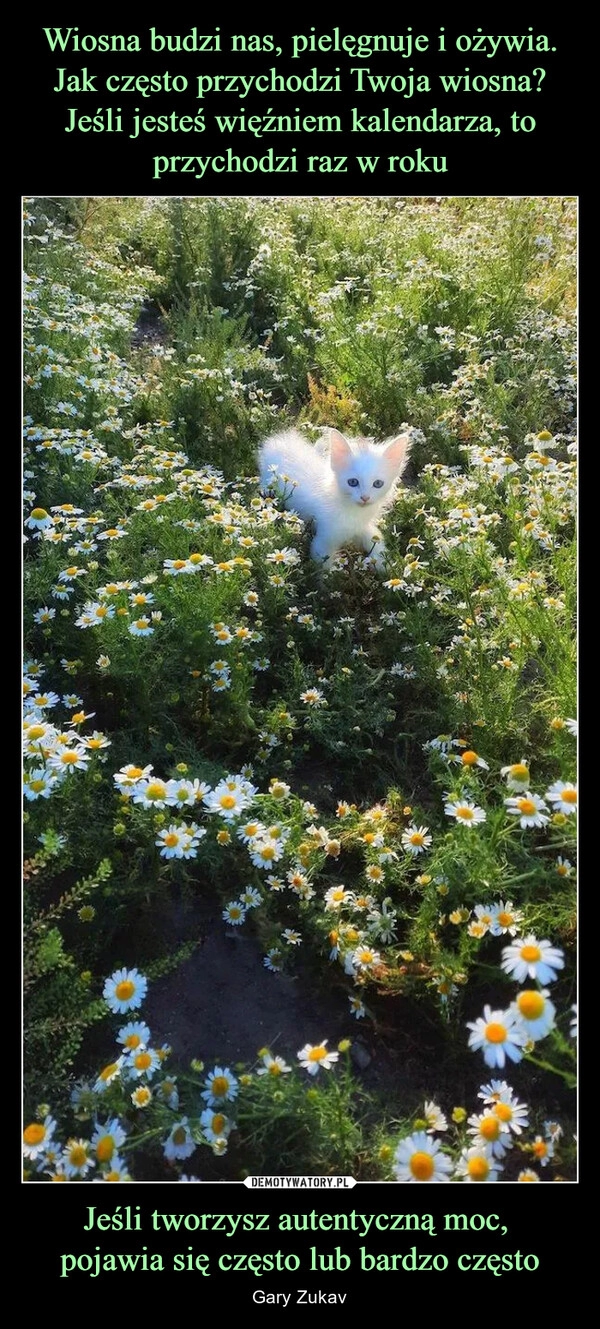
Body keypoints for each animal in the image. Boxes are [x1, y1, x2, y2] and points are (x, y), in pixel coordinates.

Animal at [260, 427, 409, 563]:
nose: (365, 498)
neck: (353, 513)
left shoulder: (364, 528)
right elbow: (326, 569)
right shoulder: (322, 543)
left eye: (378, 483)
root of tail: (276, 442)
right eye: (353, 482)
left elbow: (376, 544)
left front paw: (385, 567)